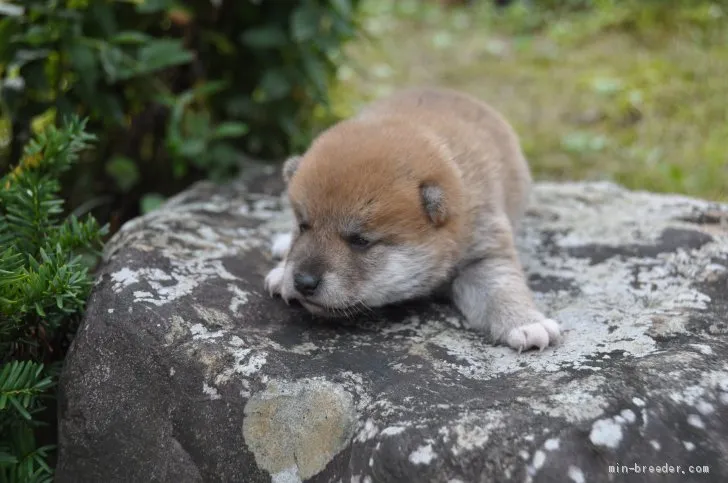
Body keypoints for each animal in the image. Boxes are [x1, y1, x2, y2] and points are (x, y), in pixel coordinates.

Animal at [264, 86, 560, 352]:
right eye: (303, 226)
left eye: (360, 241)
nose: (303, 282)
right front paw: (282, 270)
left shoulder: (485, 252)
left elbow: (502, 288)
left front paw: (525, 323)